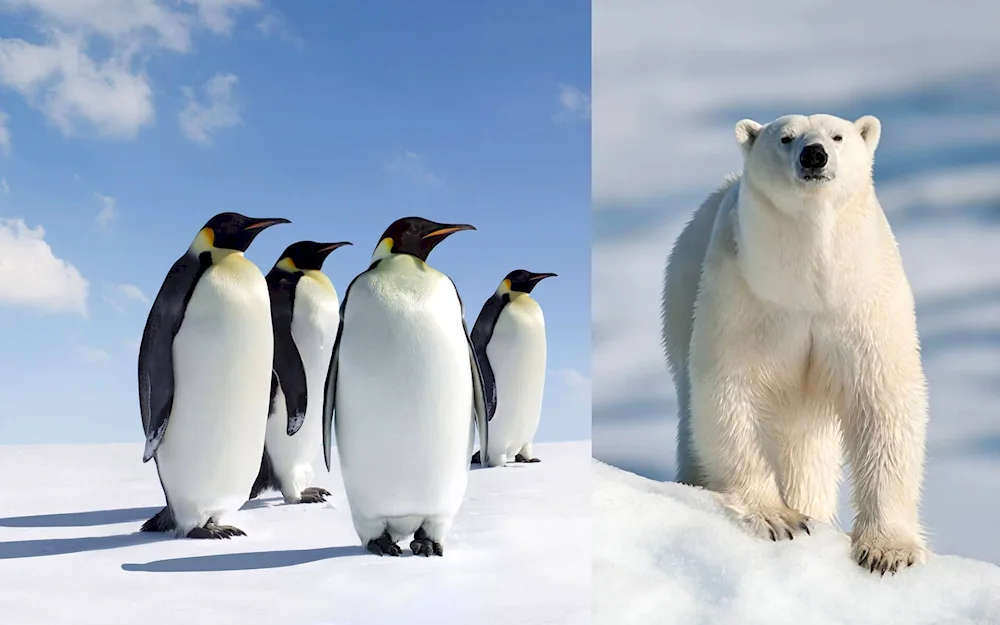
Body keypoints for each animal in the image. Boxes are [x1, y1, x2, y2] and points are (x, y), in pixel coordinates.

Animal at [664, 113, 928, 576]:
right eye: (785, 138)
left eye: (837, 136)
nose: (814, 155)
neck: (810, 283)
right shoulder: (746, 294)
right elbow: (730, 392)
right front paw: (778, 518)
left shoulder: (862, 300)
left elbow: (883, 401)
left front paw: (886, 551)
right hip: (680, 301)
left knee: (807, 448)